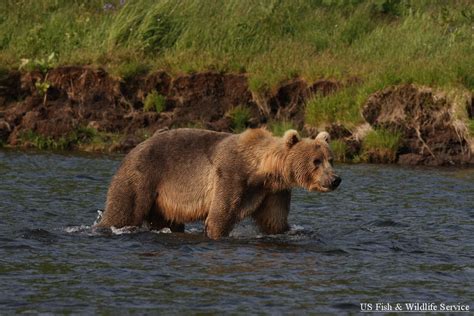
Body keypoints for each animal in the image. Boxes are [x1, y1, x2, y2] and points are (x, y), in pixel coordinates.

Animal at [96, 127, 340, 238]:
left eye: (330, 159)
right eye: (316, 161)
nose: (335, 179)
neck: (261, 169)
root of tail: (136, 146)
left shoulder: (273, 192)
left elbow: (275, 221)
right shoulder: (231, 176)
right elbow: (220, 215)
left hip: (163, 200)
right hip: (143, 175)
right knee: (124, 210)